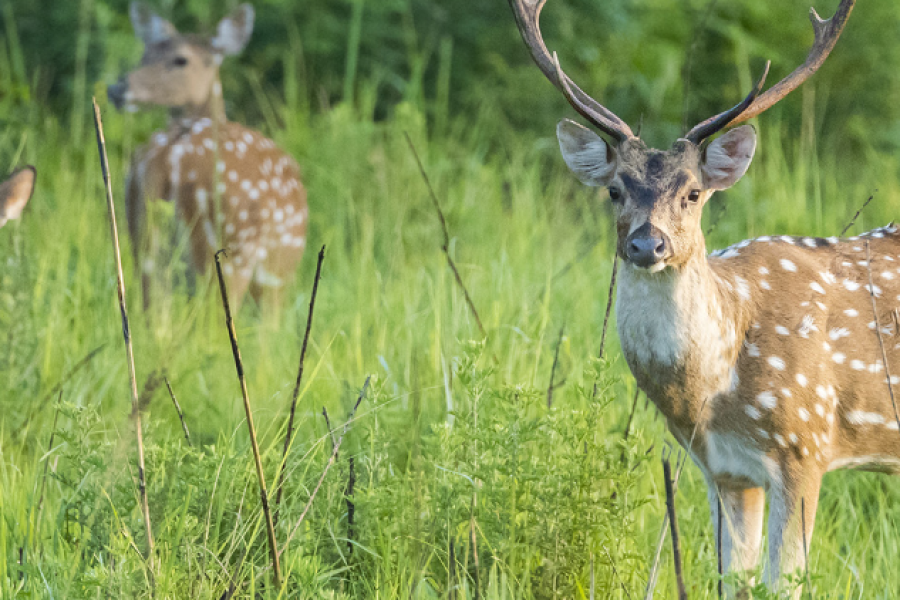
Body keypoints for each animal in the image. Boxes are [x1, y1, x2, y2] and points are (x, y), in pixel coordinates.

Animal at [106, 2, 306, 308]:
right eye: (145, 55)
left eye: (180, 60)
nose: (117, 88)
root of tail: (166, 157)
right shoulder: (278, 274)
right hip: (227, 247)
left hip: (143, 244)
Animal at [506, 0, 900, 596]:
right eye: (615, 190)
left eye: (693, 193)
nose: (647, 243)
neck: (716, 384)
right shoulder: (724, 471)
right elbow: (734, 581)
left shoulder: (805, 445)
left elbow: (784, 582)